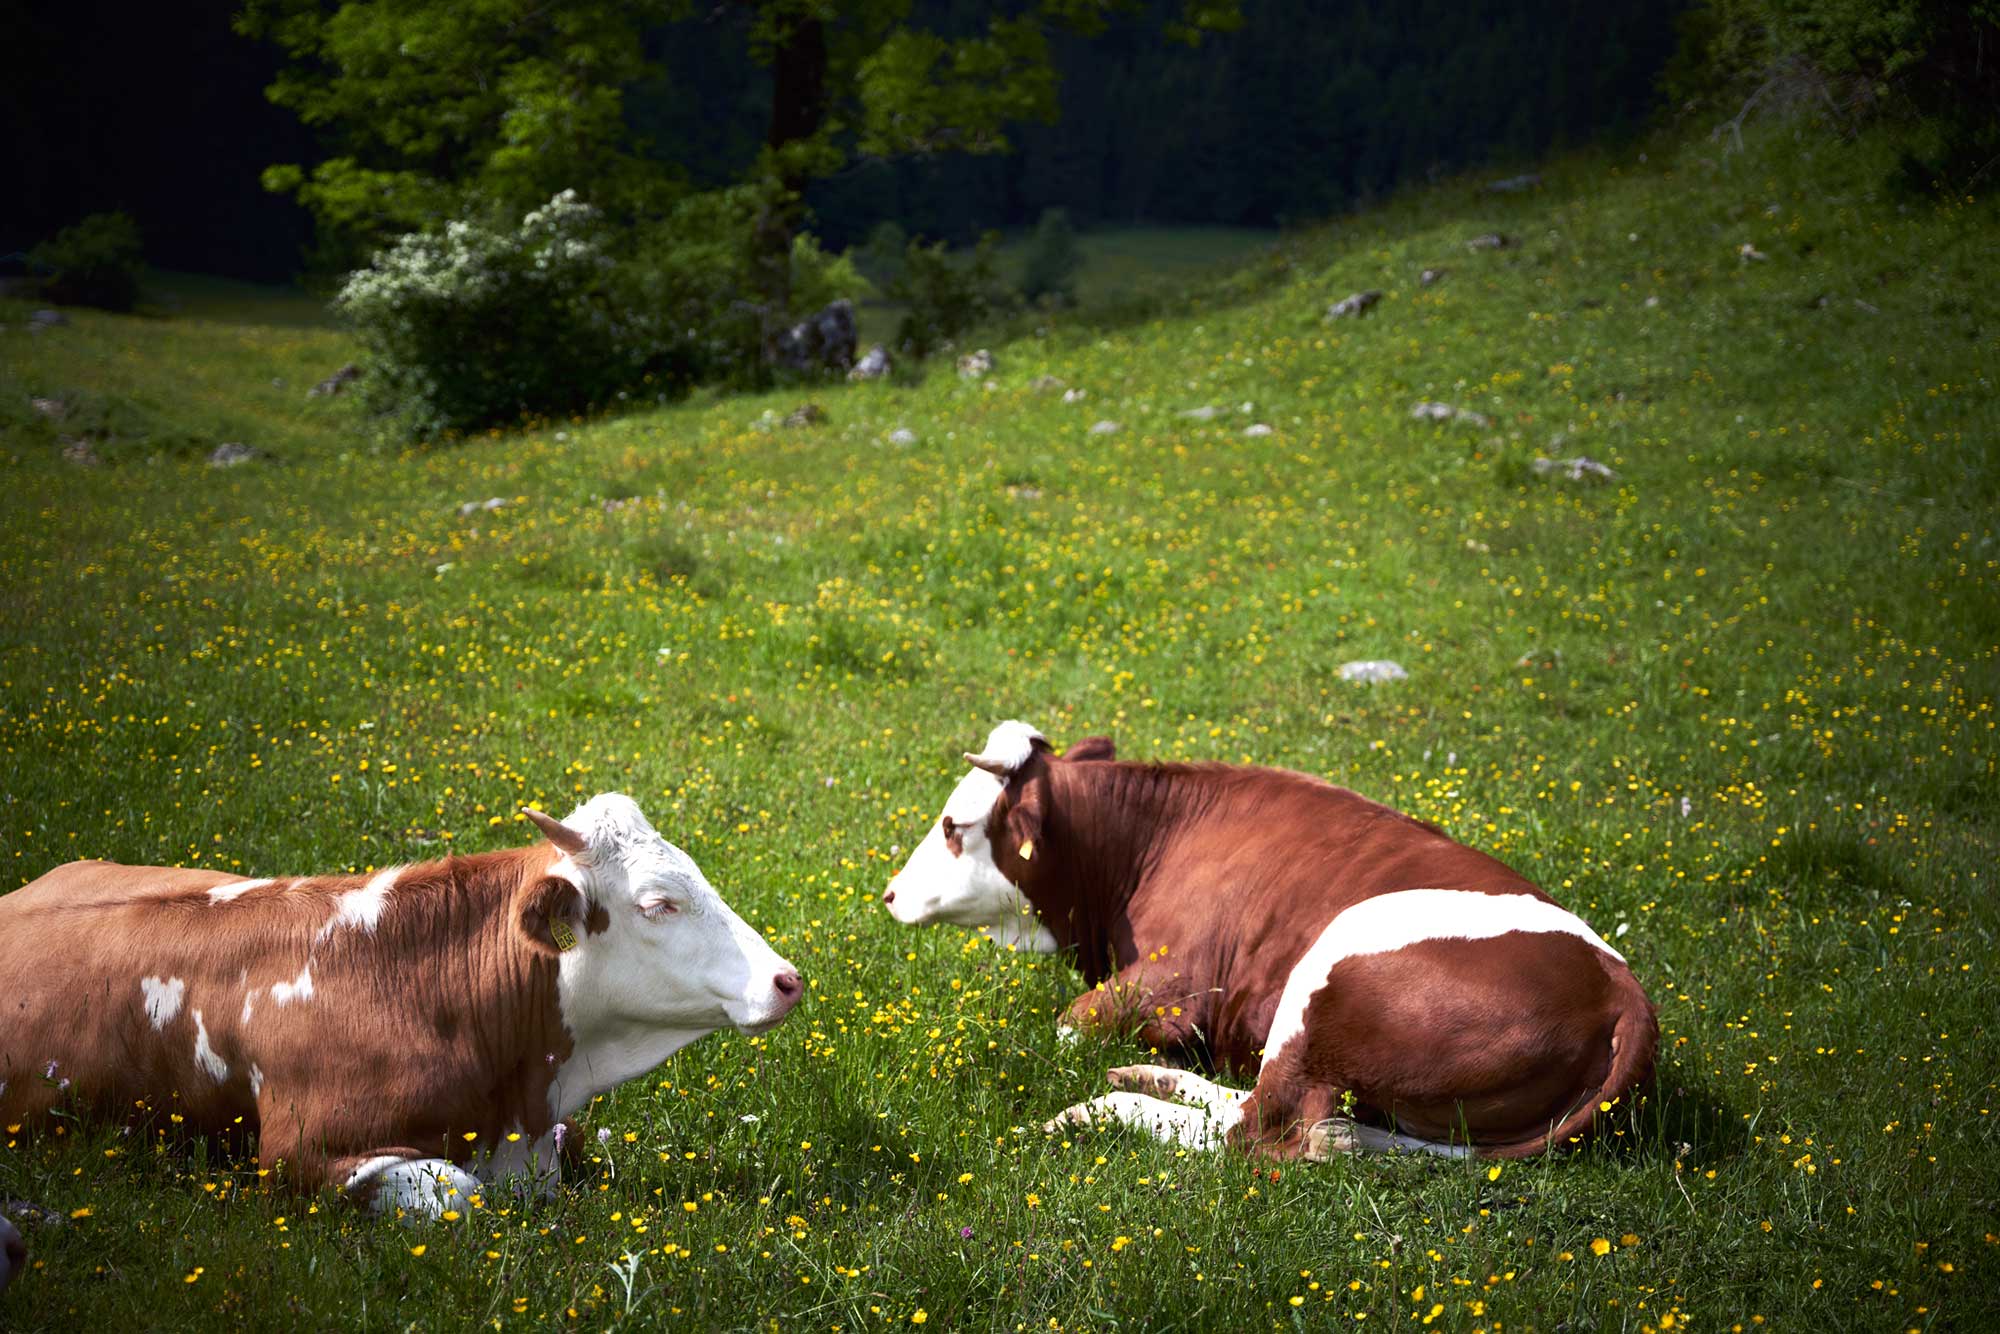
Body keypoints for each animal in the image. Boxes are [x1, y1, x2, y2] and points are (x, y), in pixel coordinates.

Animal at [884, 722, 1657, 1161]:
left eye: (952, 826)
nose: (889, 892)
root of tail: (1623, 993)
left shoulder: (1171, 984)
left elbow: (1067, 1027)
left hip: (1333, 957)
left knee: (1261, 1126)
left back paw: (1102, 1109)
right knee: (1315, 1126)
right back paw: (1155, 1079)